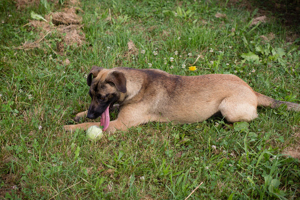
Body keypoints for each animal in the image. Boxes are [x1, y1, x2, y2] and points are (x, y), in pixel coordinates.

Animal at [63, 66, 300, 134]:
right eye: (91, 95)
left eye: (102, 96)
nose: (91, 112)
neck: (137, 86)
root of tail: (253, 92)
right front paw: (79, 115)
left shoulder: (120, 124)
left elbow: (92, 126)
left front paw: (70, 127)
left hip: (228, 108)